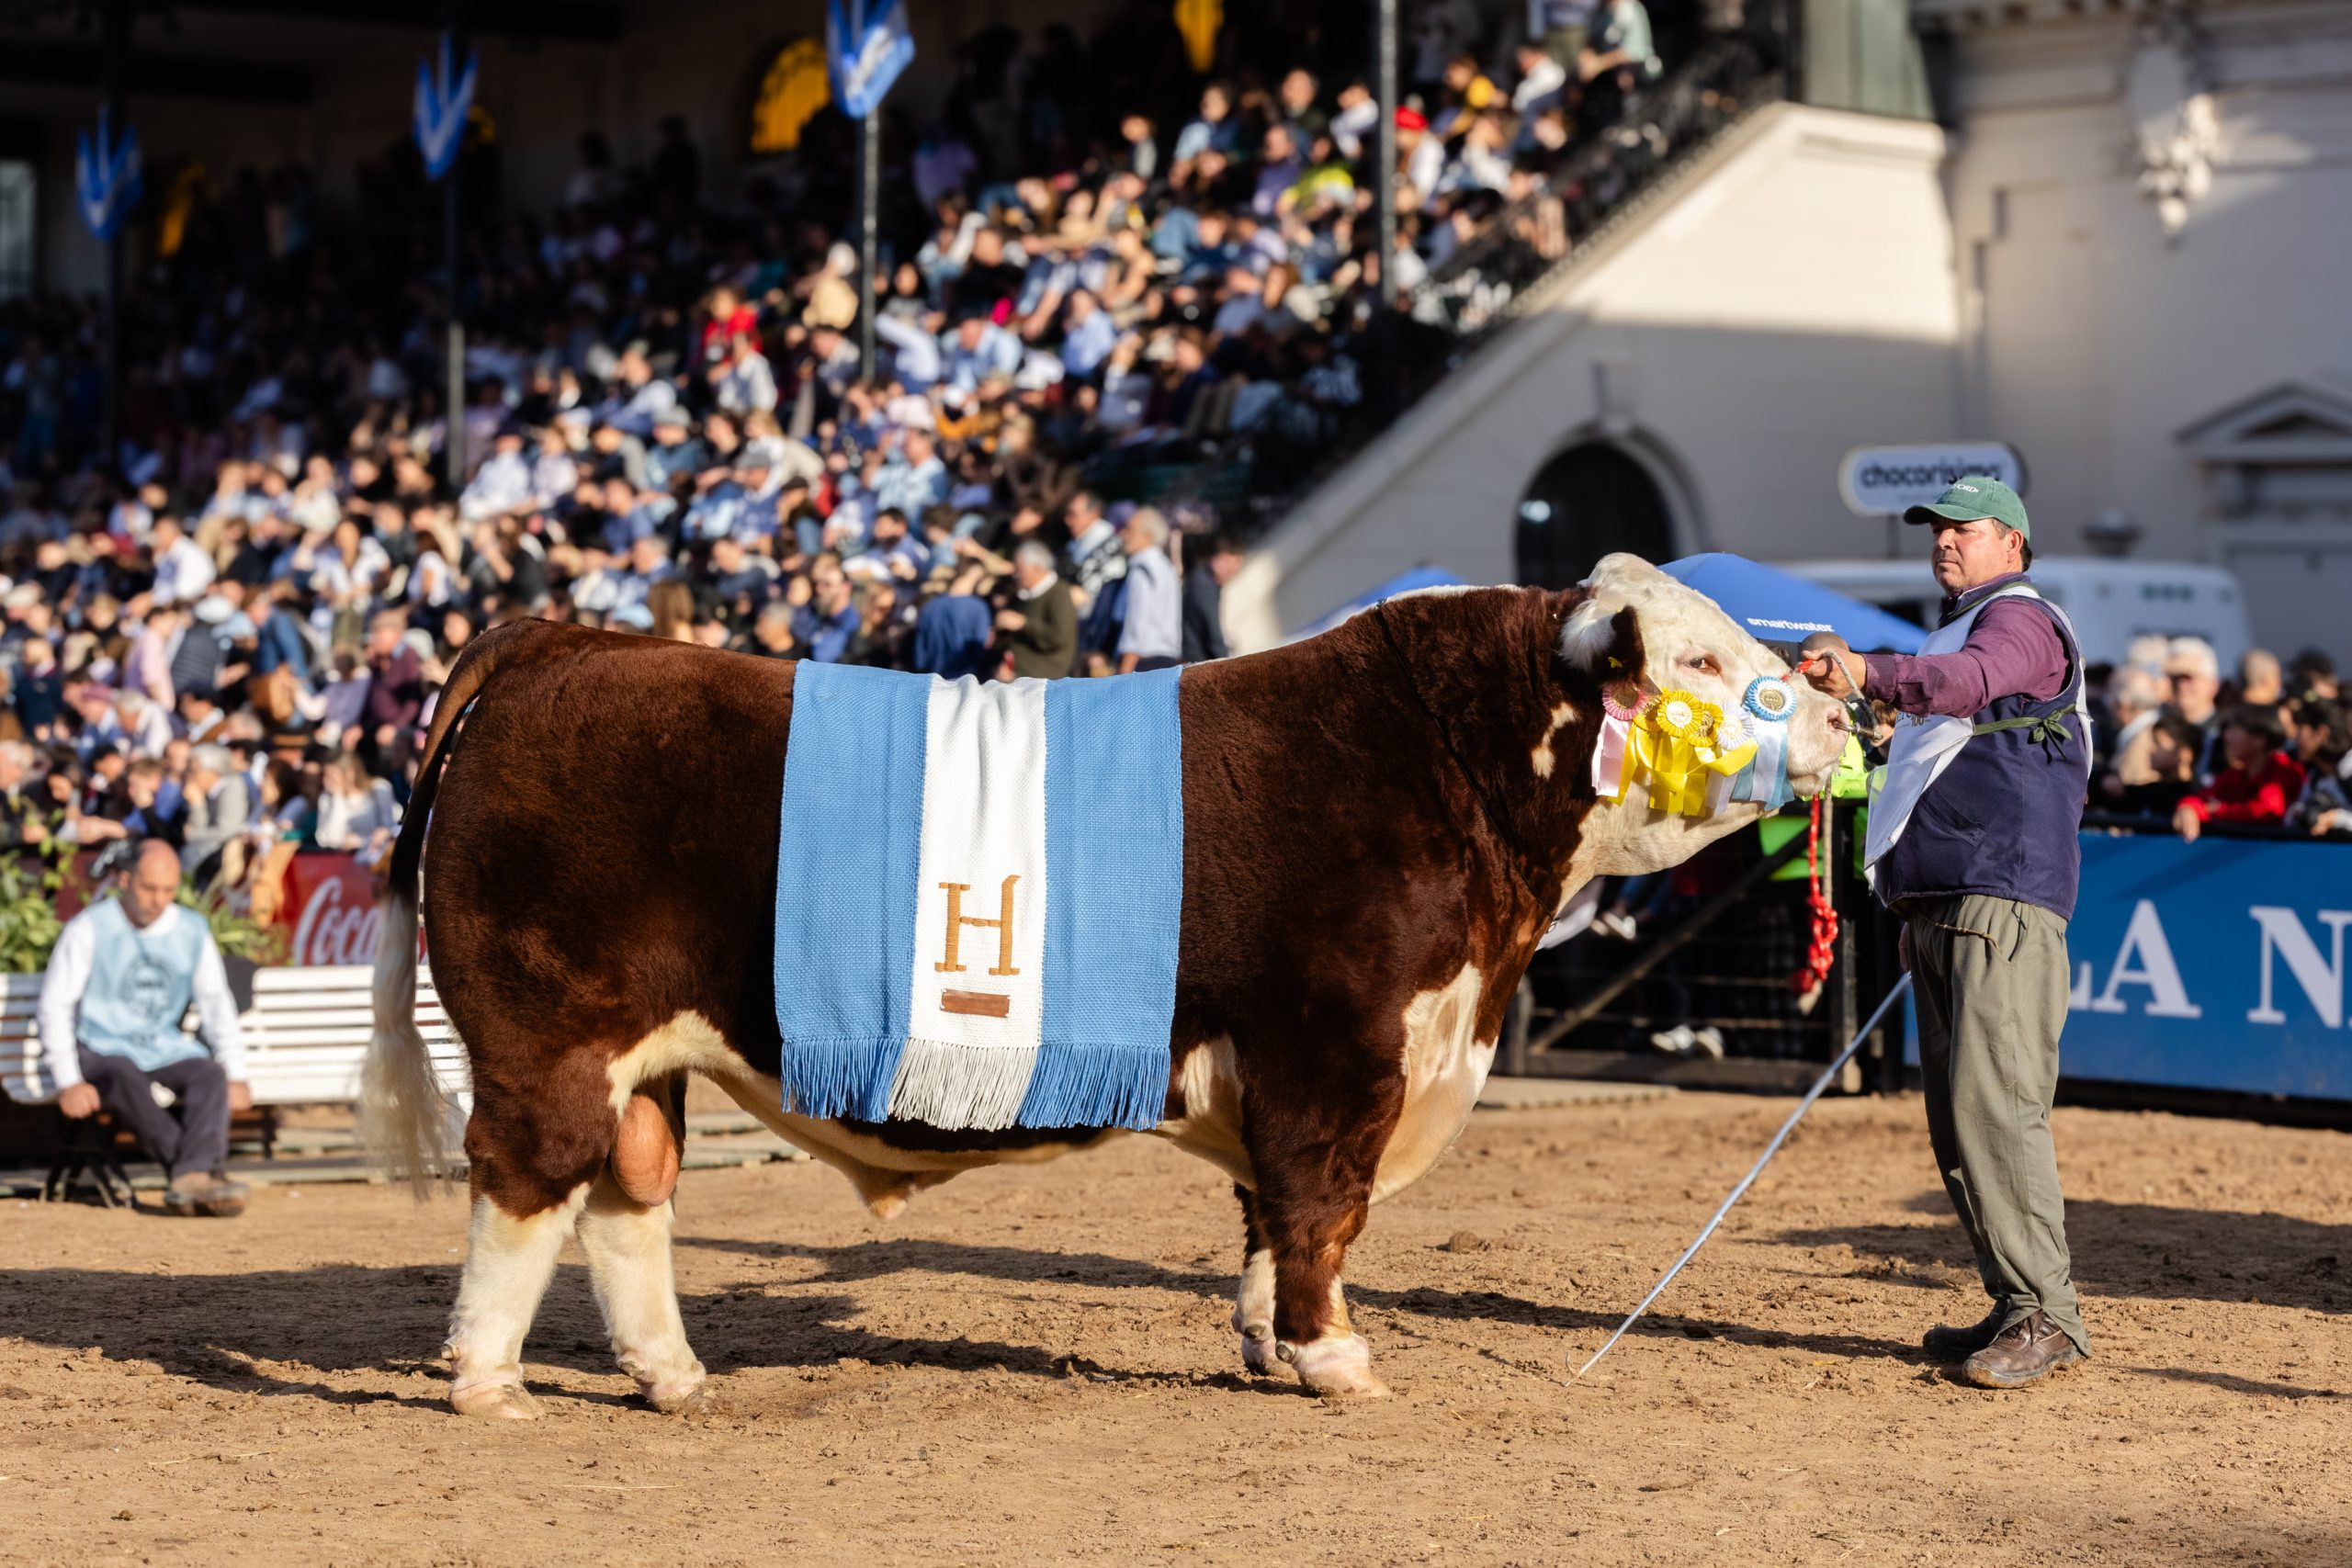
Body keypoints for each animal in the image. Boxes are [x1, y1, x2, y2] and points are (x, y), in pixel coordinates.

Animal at [367, 554, 1844, 1419]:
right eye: (1701, 662)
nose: (1844, 702)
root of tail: (569, 641)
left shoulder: (1293, 1063)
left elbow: (1268, 1214)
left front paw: (1267, 1344)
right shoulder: (1337, 1048)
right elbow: (1322, 1209)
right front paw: (1336, 1359)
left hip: (648, 1054)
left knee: (627, 1198)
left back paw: (672, 1377)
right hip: (550, 1034)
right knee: (525, 1185)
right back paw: (488, 1383)